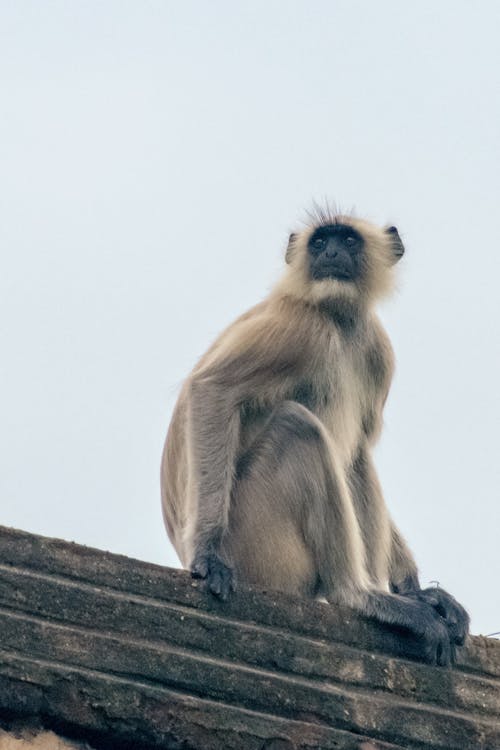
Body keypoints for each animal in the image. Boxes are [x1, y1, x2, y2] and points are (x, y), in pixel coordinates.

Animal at [160, 209, 468, 668]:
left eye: (347, 240)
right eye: (320, 242)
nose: (332, 254)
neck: (338, 320)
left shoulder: (377, 349)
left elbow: (358, 448)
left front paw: (415, 587)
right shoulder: (299, 327)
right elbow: (212, 390)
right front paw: (208, 555)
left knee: (355, 459)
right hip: (259, 546)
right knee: (298, 426)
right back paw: (357, 594)